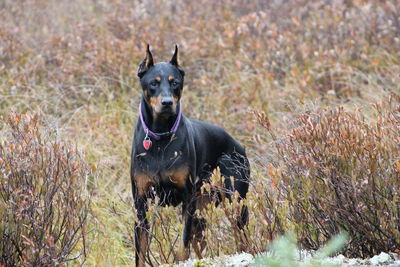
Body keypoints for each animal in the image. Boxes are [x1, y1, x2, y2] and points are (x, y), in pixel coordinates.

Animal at [131, 45, 250, 266]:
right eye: (153, 83)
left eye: (175, 82)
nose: (167, 102)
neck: (160, 139)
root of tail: (238, 146)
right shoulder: (141, 203)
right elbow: (140, 252)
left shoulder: (187, 199)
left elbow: (183, 246)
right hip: (202, 213)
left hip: (234, 202)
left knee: (242, 238)